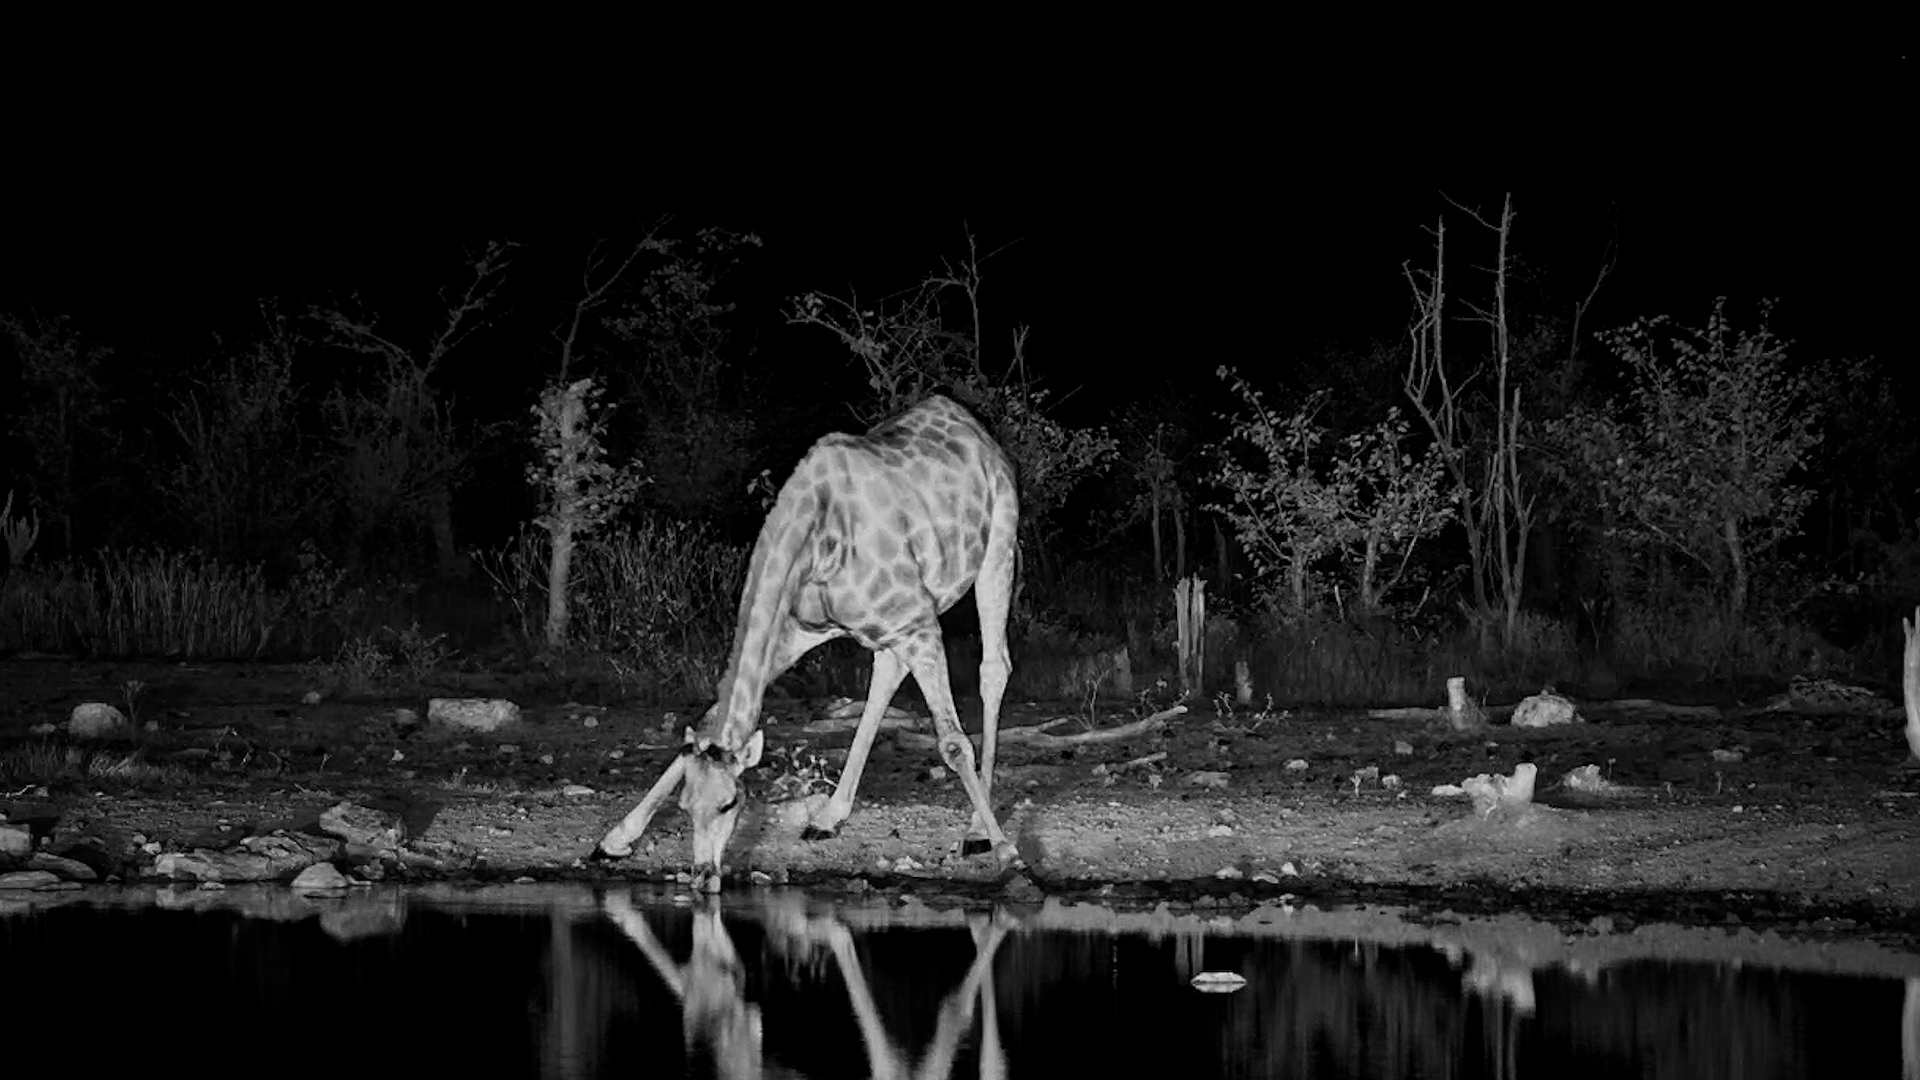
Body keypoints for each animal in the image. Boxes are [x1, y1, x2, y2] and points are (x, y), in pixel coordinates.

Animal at [594, 394, 1022, 891]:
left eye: (729, 803)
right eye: (684, 807)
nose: (704, 875)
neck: (817, 536)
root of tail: (971, 424)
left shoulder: (920, 623)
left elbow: (953, 743)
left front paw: (1008, 855)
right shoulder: (801, 630)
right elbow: (709, 720)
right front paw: (614, 839)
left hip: (998, 547)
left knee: (993, 668)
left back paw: (975, 832)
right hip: (882, 628)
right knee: (886, 674)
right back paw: (828, 817)